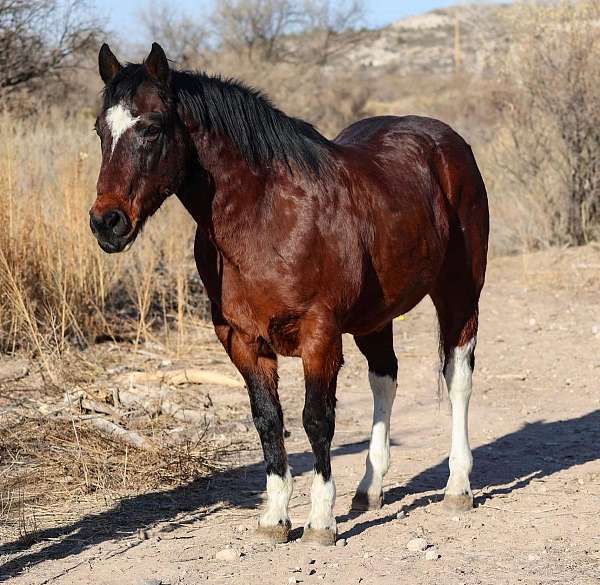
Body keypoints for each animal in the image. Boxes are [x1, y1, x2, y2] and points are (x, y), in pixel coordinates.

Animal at [91, 43, 490, 544]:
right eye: (100, 129)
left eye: (151, 127)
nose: (106, 223)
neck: (266, 215)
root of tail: (450, 144)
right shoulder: (242, 341)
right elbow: (269, 420)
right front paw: (276, 517)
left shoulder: (319, 335)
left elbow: (316, 419)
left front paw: (321, 520)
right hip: (375, 318)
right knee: (385, 380)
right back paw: (370, 489)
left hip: (460, 294)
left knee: (458, 377)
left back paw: (458, 487)